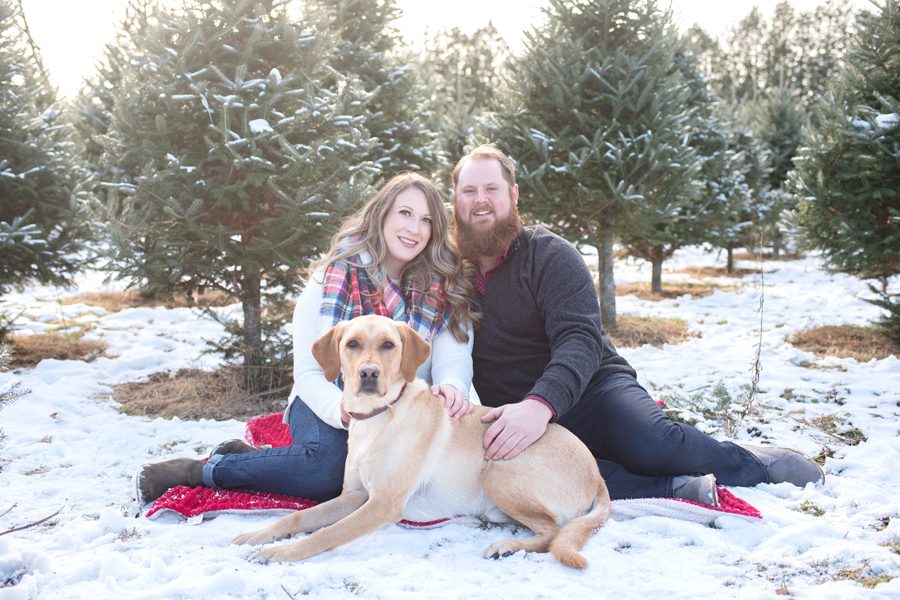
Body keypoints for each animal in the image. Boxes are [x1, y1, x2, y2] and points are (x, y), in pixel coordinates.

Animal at [232, 314, 612, 568]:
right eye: (351, 344)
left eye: (388, 345)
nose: (368, 373)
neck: (377, 417)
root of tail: (597, 474)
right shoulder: (355, 495)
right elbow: (297, 519)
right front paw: (258, 535)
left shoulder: (383, 503)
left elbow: (326, 534)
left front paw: (280, 553)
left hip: (498, 471)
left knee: (553, 532)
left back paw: (506, 546)